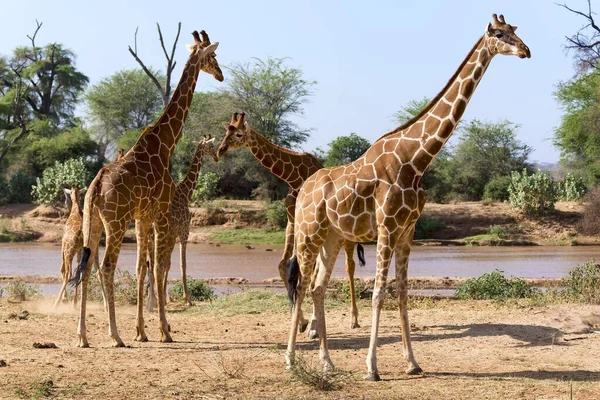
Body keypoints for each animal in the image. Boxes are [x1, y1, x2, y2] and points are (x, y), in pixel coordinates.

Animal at [68, 29, 223, 346]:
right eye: (213, 55)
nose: (221, 75)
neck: (166, 143)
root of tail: (95, 188)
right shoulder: (161, 214)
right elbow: (160, 267)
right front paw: (164, 330)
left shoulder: (143, 217)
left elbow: (142, 268)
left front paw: (142, 330)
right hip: (116, 223)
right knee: (107, 267)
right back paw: (115, 335)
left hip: (94, 224)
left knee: (87, 267)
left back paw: (83, 336)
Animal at [216, 112, 366, 332]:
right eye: (226, 132)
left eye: (239, 134)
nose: (220, 150)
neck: (292, 176)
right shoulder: (292, 222)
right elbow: (284, 266)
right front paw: (302, 320)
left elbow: (309, 273)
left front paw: (312, 324)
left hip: (346, 235)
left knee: (349, 266)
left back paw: (353, 319)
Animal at [284, 14, 528, 380]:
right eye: (499, 34)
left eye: (516, 31)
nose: (526, 51)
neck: (416, 159)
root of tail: (304, 191)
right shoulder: (386, 228)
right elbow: (378, 294)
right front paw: (372, 367)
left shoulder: (407, 231)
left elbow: (401, 293)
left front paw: (412, 362)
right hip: (308, 233)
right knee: (301, 284)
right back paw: (290, 359)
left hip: (332, 237)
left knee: (317, 288)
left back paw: (327, 362)